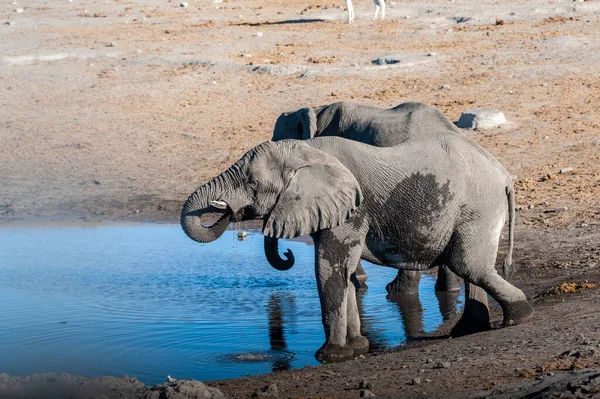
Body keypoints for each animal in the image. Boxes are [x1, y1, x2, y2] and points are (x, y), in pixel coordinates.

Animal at [180, 134, 532, 362]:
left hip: (478, 206)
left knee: (467, 264)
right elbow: (345, 273)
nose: (287, 254)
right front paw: (358, 348)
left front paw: (329, 356)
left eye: (253, 185)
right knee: (473, 266)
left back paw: (520, 316)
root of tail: (504, 175)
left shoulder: (352, 210)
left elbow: (328, 269)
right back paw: (469, 329)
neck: (308, 151)